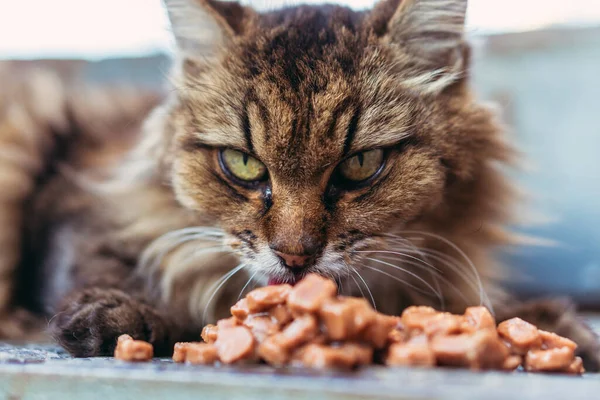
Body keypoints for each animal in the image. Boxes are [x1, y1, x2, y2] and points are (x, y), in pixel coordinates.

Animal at [0, 0, 596, 368]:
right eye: (242, 164)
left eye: (361, 164)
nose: (294, 256)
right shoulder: (86, 198)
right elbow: (106, 263)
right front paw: (116, 317)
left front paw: (555, 327)